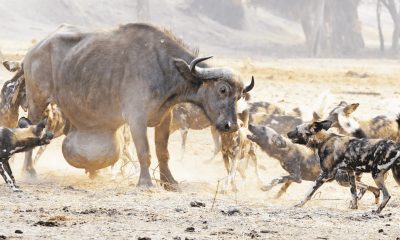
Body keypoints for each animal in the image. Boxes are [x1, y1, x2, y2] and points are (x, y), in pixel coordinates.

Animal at [21, 23, 255, 189]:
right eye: (222, 89)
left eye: (240, 95)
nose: (231, 126)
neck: (165, 67)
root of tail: (34, 50)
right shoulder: (136, 120)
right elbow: (145, 151)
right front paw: (145, 182)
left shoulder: (165, 118)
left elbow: (163, 152)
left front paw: (169, 181)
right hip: (37, 102)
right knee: (31, 131)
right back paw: (29, 172)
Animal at [245, 124, 380, 201]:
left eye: (262, 129)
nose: (250, 124)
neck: (284, 150)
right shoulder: (293, 177)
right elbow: (282, 188)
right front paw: (275, 197)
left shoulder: (296, 176)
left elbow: (276, 179)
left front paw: (266, 187)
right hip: (346, 179)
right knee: (371, 188)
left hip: (342, 180)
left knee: (365, 187)